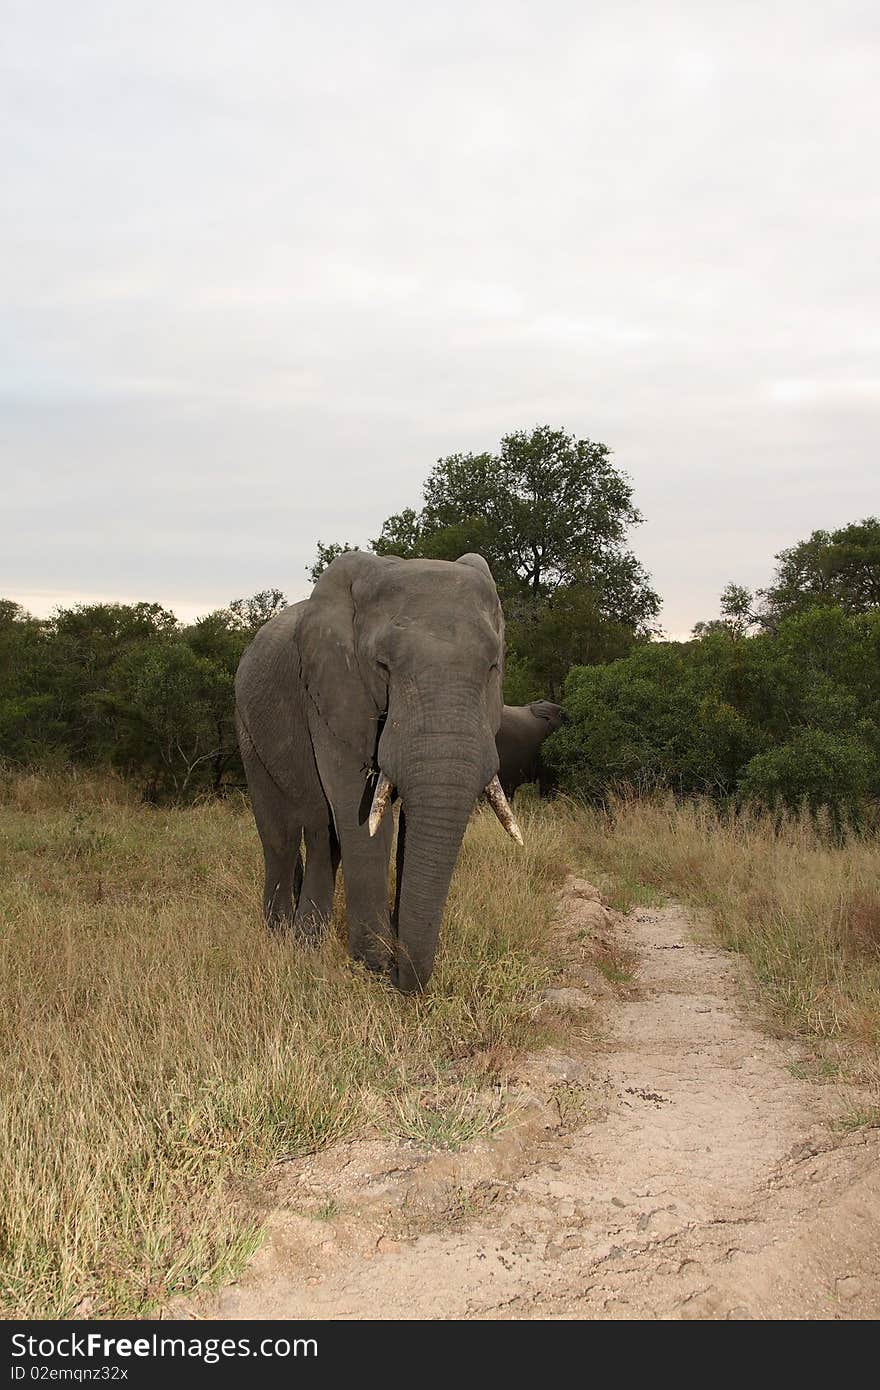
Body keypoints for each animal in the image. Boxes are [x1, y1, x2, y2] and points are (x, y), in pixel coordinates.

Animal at [233, 547, 522, 995]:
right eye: (382, 666)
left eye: (493, 667)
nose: (402, 981)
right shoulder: (333, 693)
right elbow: (361, 814)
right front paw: (374, 965)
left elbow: (403, 826)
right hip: (247, 726)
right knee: (284, 833)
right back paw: (283, 937)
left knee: (322, 834)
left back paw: (307, 940)